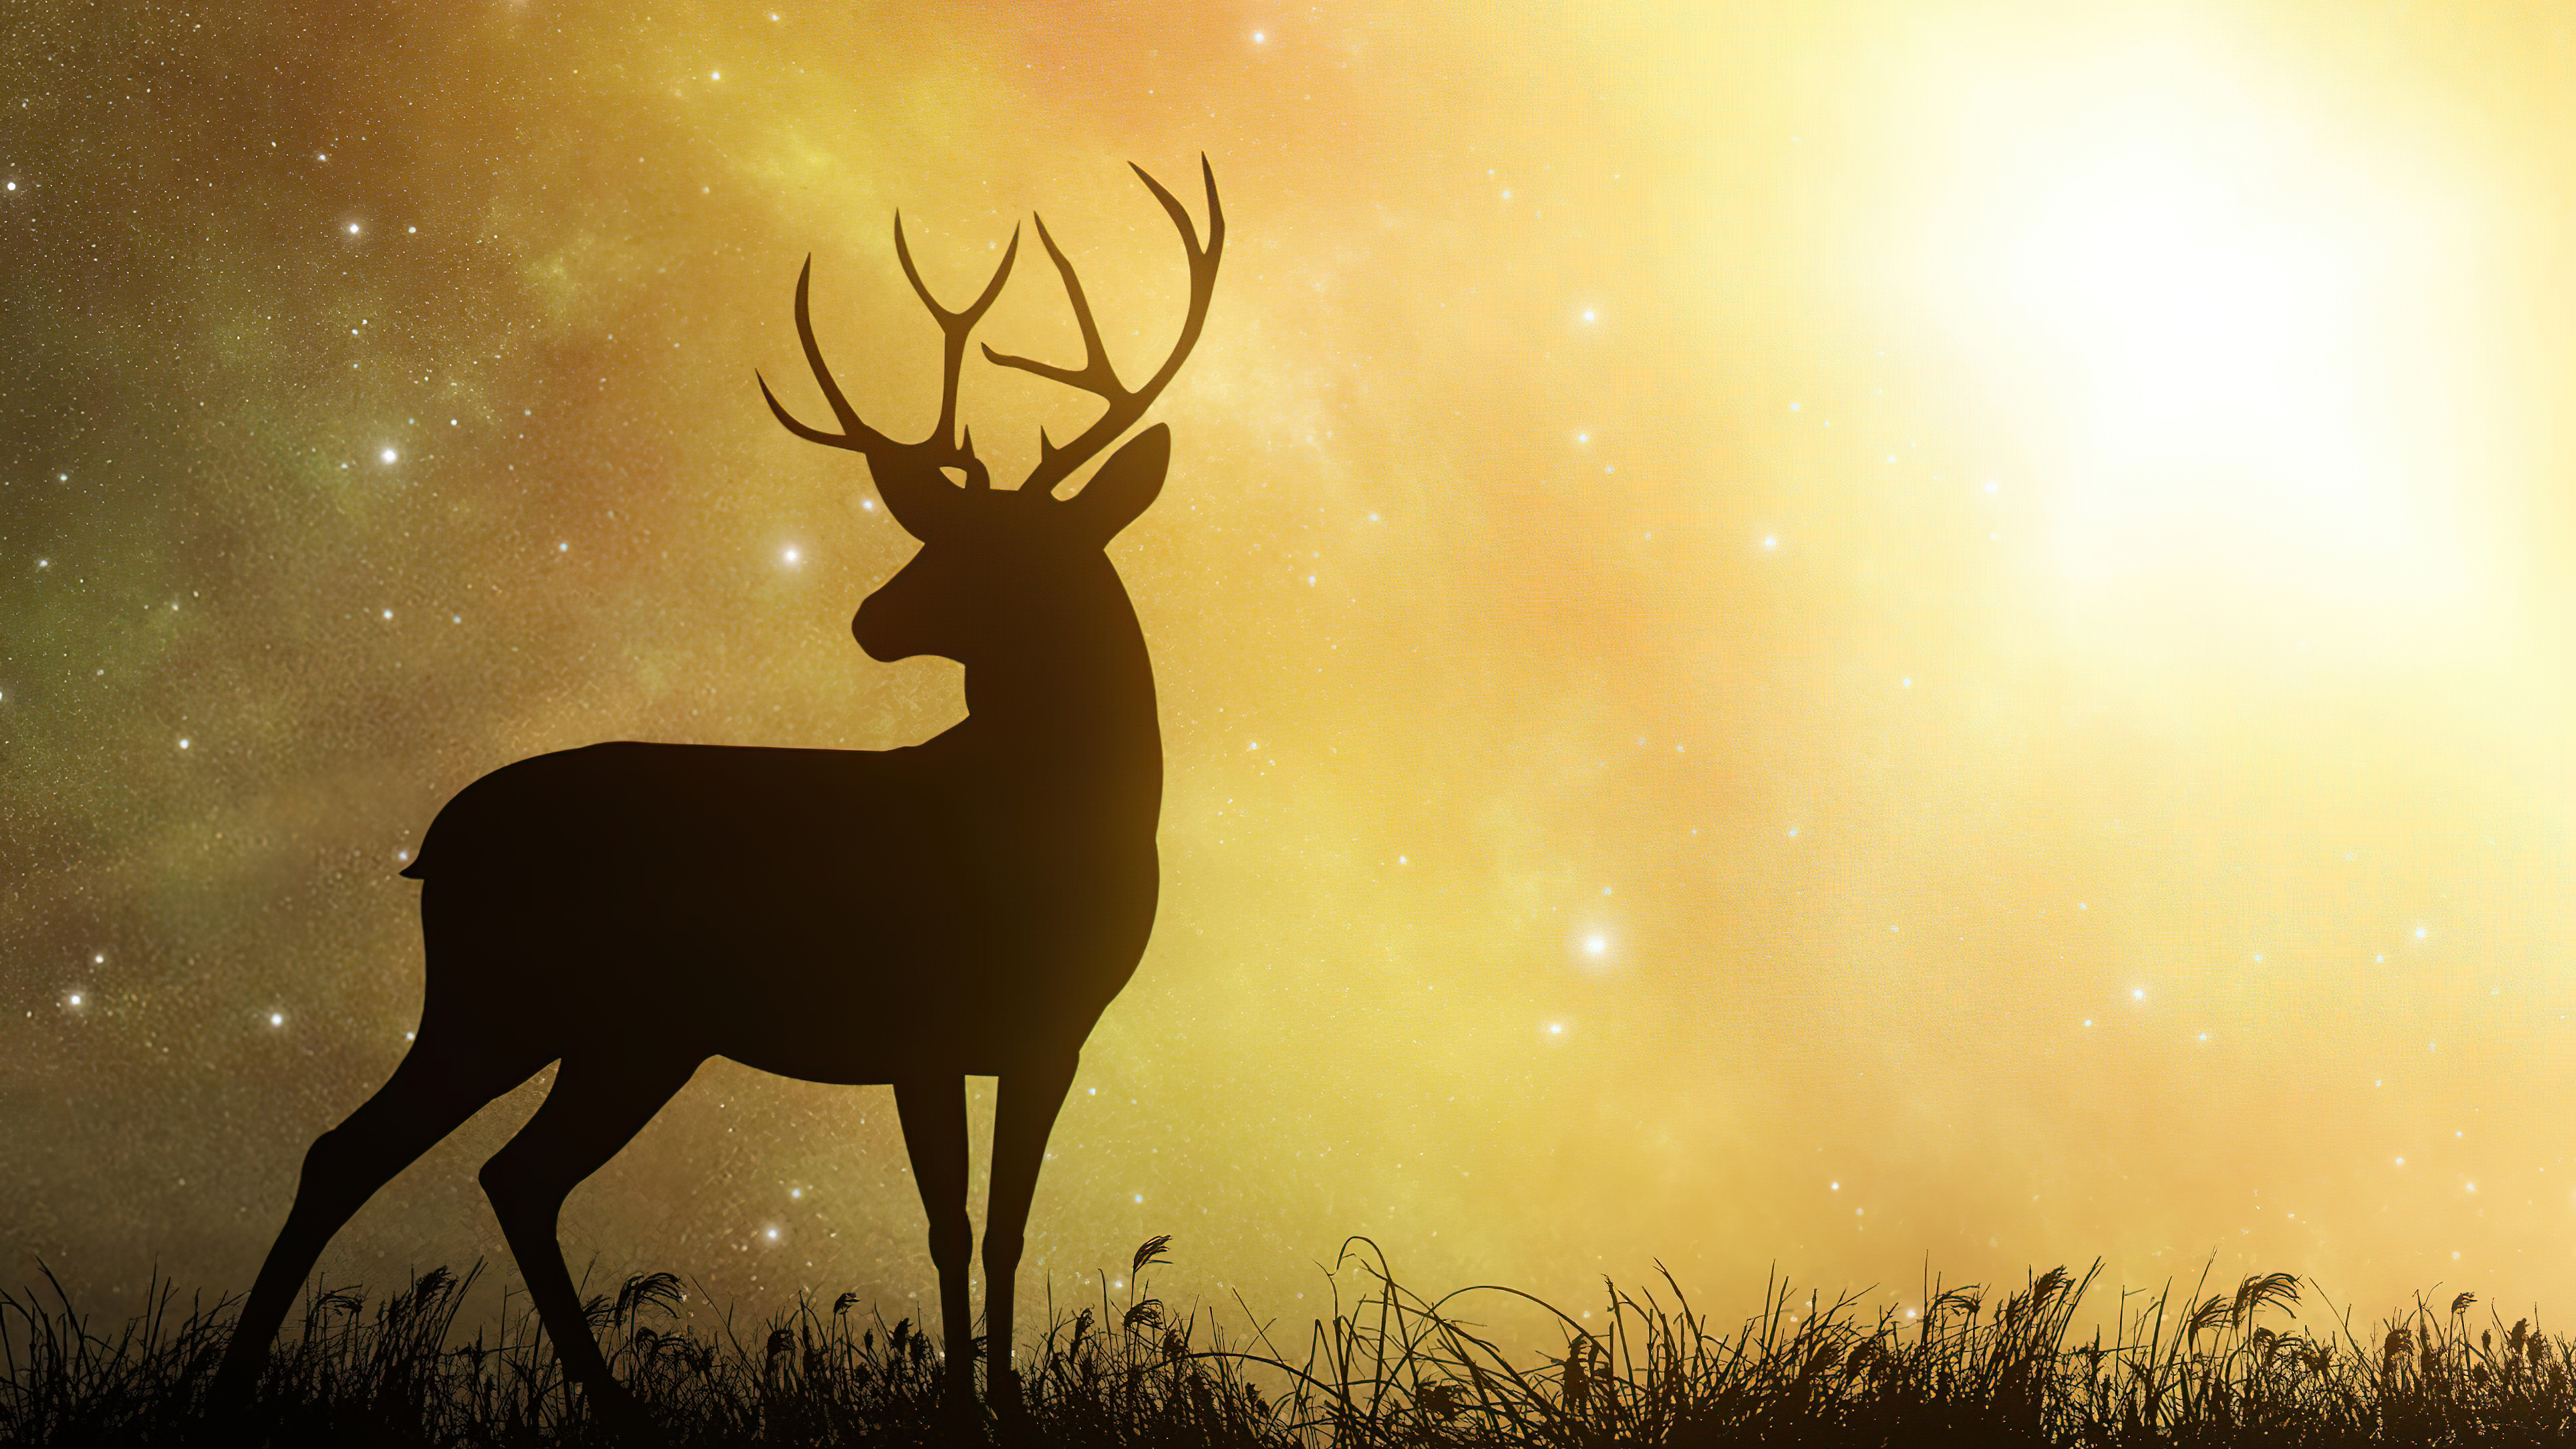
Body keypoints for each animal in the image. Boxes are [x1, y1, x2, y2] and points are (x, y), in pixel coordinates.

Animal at [210, 159, 1223, 1434]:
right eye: (936, 531)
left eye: (1003, 549)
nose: (870, 619)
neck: (1046, 818)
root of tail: (436, 842)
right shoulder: (922, 1025)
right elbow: (946, 1227)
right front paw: (957, 1413)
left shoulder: (1050, 1037)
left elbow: (1003, 1229)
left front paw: (1009, 1411)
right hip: (521, 1000)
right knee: (381, 1154)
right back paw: (250, 1390)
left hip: (616, 1028)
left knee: (491, 1169)